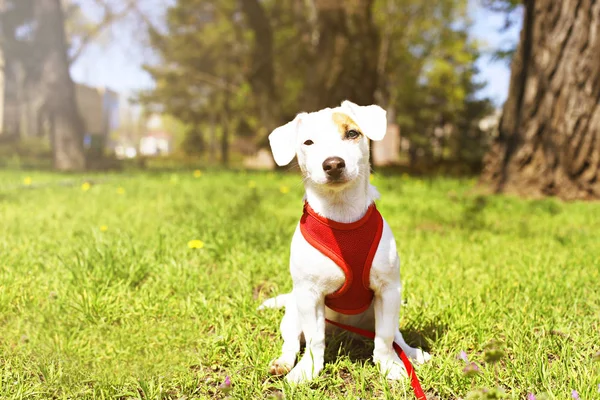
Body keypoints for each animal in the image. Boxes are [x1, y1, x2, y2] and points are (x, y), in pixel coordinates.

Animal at [258, 100, 432, 384]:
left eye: (352, 133)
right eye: (308, 142)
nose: (332, 164)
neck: (341, 214)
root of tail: (346, 334)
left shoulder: (388, 289)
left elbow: (384, 338)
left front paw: (389, 365)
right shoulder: (309, 295)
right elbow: (315, 340)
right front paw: (308, 369)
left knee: (395, 336)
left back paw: (411, 354)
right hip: (293, 312)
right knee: (292, 342)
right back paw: (283, 363)